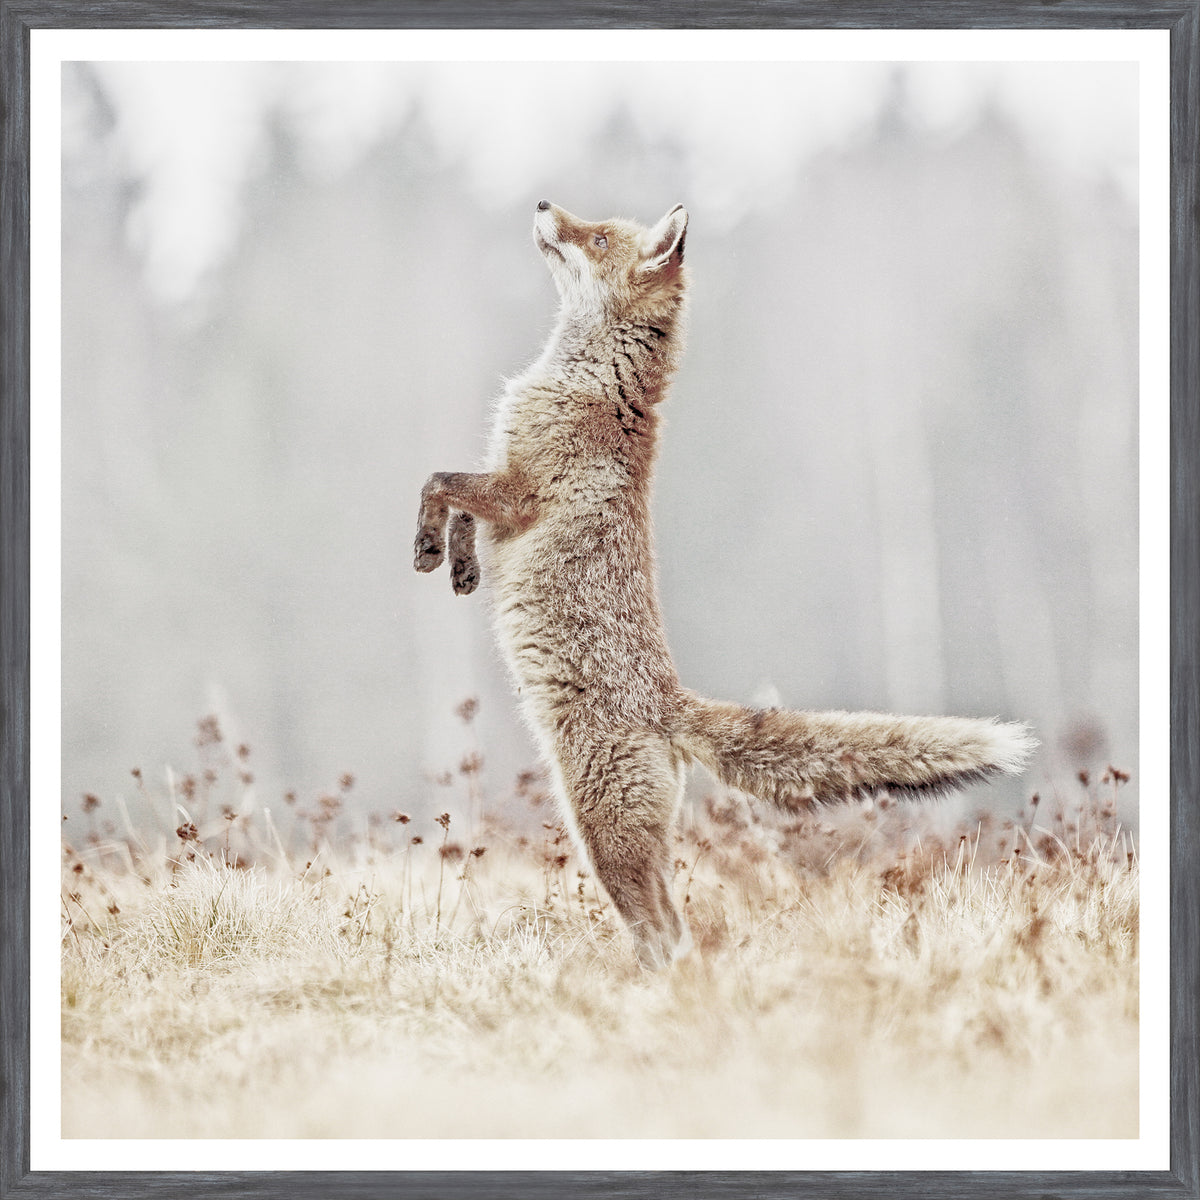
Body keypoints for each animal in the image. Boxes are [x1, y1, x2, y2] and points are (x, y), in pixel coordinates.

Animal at [414, 200, 1035, 968]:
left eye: (596, 236)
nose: (542, 205)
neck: (588, 382)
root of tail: (670, 703)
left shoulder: (519, 490)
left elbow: (439, 482)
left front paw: (427, 545)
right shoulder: (503, 484)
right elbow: (460, 507)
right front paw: (460, 565)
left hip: (602, 834)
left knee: (665, 930)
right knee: (670, 927)